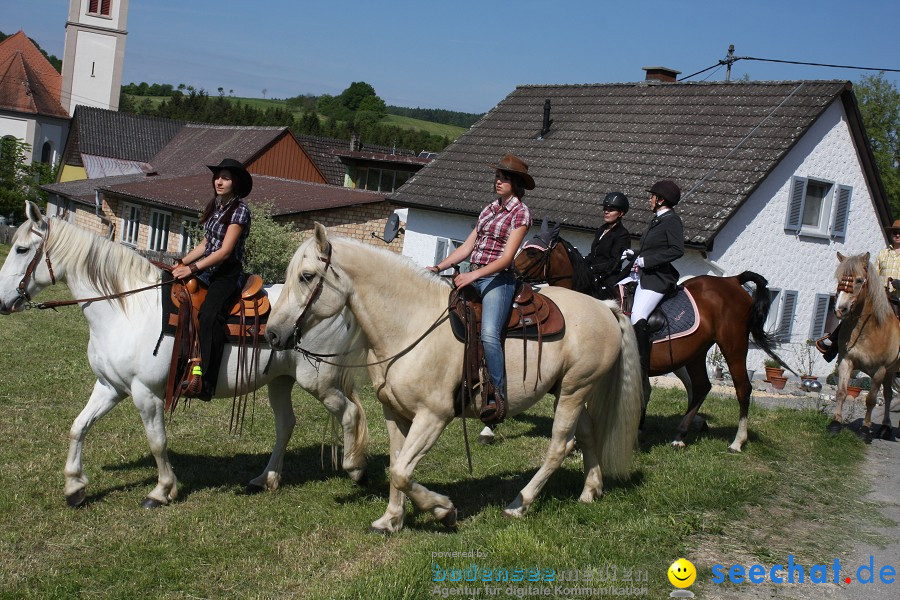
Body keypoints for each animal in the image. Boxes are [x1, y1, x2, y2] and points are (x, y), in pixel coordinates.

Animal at [0, 204, 370, 508]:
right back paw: (265, 479)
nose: (3, 302)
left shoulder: (146, 393)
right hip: (280, 381)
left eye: (22, 249)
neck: (126, 308)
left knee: (350, 413)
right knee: (286, 425)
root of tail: (339, 307)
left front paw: (162, 491)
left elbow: (157, 442)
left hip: (319, 381)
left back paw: (355, 468)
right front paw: (75, 487)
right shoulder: (110, 386)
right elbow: (78, 427)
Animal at [264, 225, 644, 536]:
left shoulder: (434, 416)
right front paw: (391, 519)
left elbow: (402, 472)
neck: (411, 324)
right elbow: (396, 464)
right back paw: (590, 491)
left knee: (559, 446)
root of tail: (605, 307)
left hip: (574, 391)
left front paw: (443, 510)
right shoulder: (394, 413)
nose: (272, 334)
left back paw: (519, 504)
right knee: (588, 435)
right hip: (568, 390)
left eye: (307, 276)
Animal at [510, 232, 792, 452]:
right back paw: (680, 436)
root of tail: (732, 281)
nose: (511, 274)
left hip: (733, 345)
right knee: (701, 387)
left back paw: (737, 441)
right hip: (695, 353)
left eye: (532, 253)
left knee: (742, 388)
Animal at [828, 251, 900, 438]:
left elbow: (871, 400)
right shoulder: (846, 361)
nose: (840, 309)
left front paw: (865, 429)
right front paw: (835, 423)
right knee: (888, 395)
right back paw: (885, 427)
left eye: (859, 280)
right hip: (890, 371)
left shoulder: (879, 370)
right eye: (840, 278)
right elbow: (841, 392)